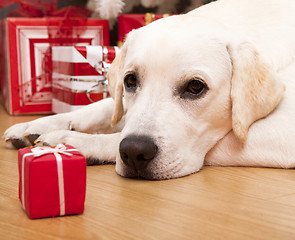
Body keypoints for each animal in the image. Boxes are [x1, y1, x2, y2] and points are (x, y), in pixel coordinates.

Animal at [4, 0, 295, 178]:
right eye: (130, 81)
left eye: (195, 87)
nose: (134, 151)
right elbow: (101, 108)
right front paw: (40, 124)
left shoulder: (282, 132)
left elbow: (114, 137)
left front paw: (72, 141)